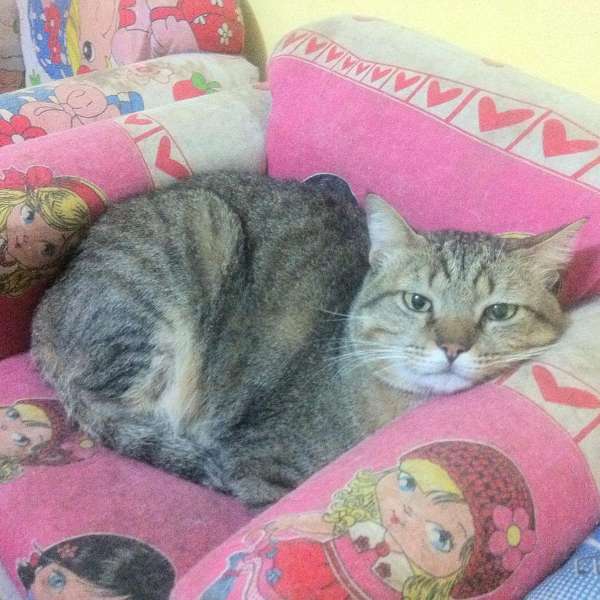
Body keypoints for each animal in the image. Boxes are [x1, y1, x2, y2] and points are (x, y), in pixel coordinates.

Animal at [31, 172, 583, 506]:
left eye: (500, 312)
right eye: (417, 302)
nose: (452, 348)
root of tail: (46, 307)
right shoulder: (258, 459)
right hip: (197, 234)